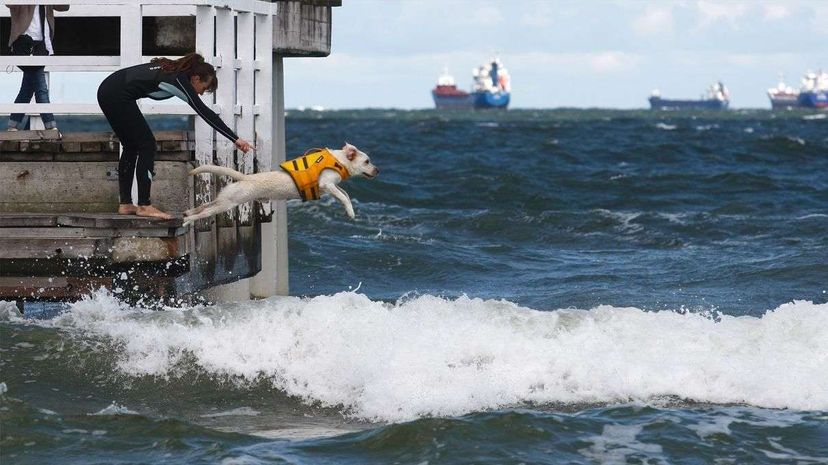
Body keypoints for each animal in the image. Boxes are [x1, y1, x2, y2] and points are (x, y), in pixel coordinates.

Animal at [184, 143, 378, 227]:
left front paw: (350, 210)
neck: (341, 160)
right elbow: (343, 198)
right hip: (228, 203)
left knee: (205, 206)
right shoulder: (327, 184)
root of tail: (245, 178)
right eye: (367, 161)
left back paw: (188, 214)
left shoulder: (333, 187)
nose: (378, 170)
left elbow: (345, 195)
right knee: (206, 212)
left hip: (224, 199)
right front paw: (351, 212)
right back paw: (188, 220)